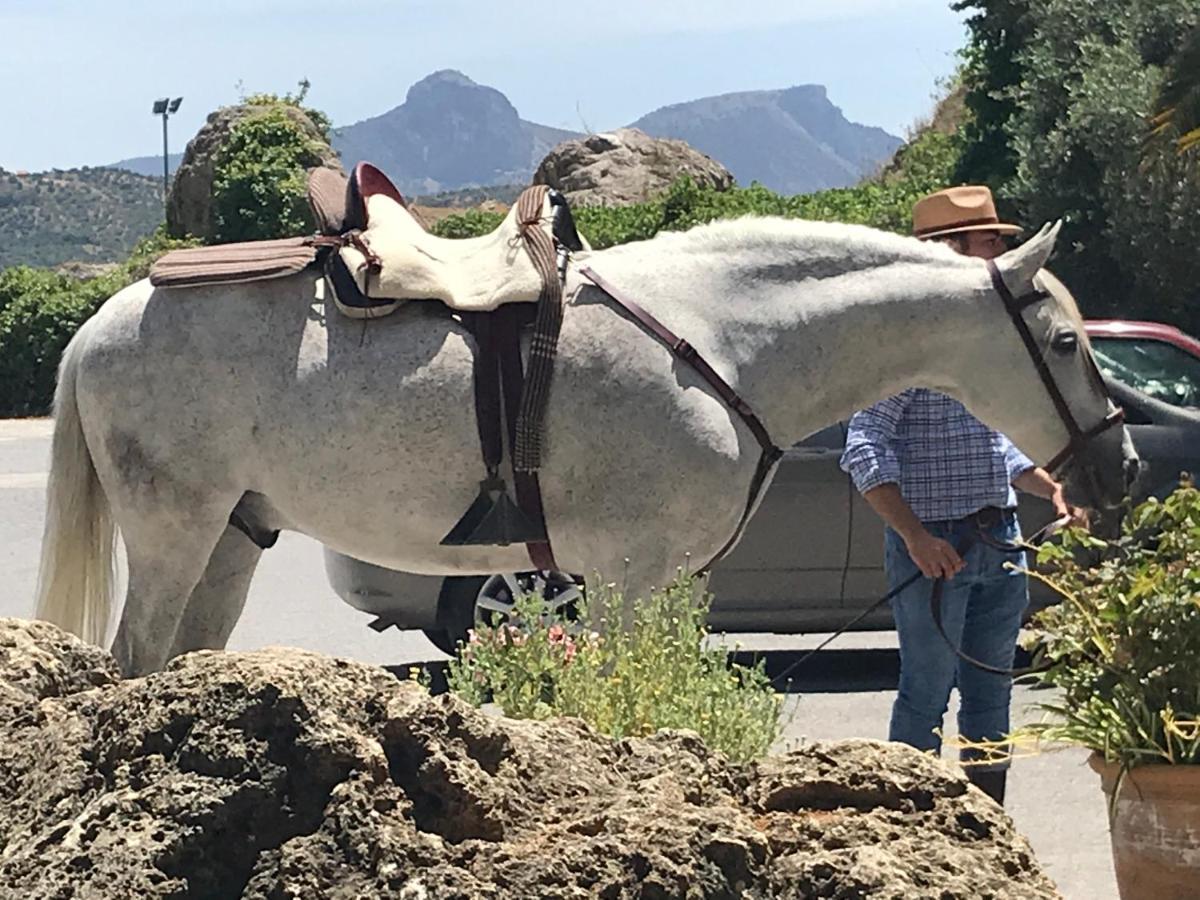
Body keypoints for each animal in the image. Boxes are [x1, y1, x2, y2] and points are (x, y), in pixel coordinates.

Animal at [35, 218, 1132, 672]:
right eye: (1068, 343)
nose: (1118, 470)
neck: (718, 337)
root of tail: (104, 321)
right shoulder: (623, 576)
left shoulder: (667, 584)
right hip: (175, 531)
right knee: (134, 658)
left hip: (235, 534)